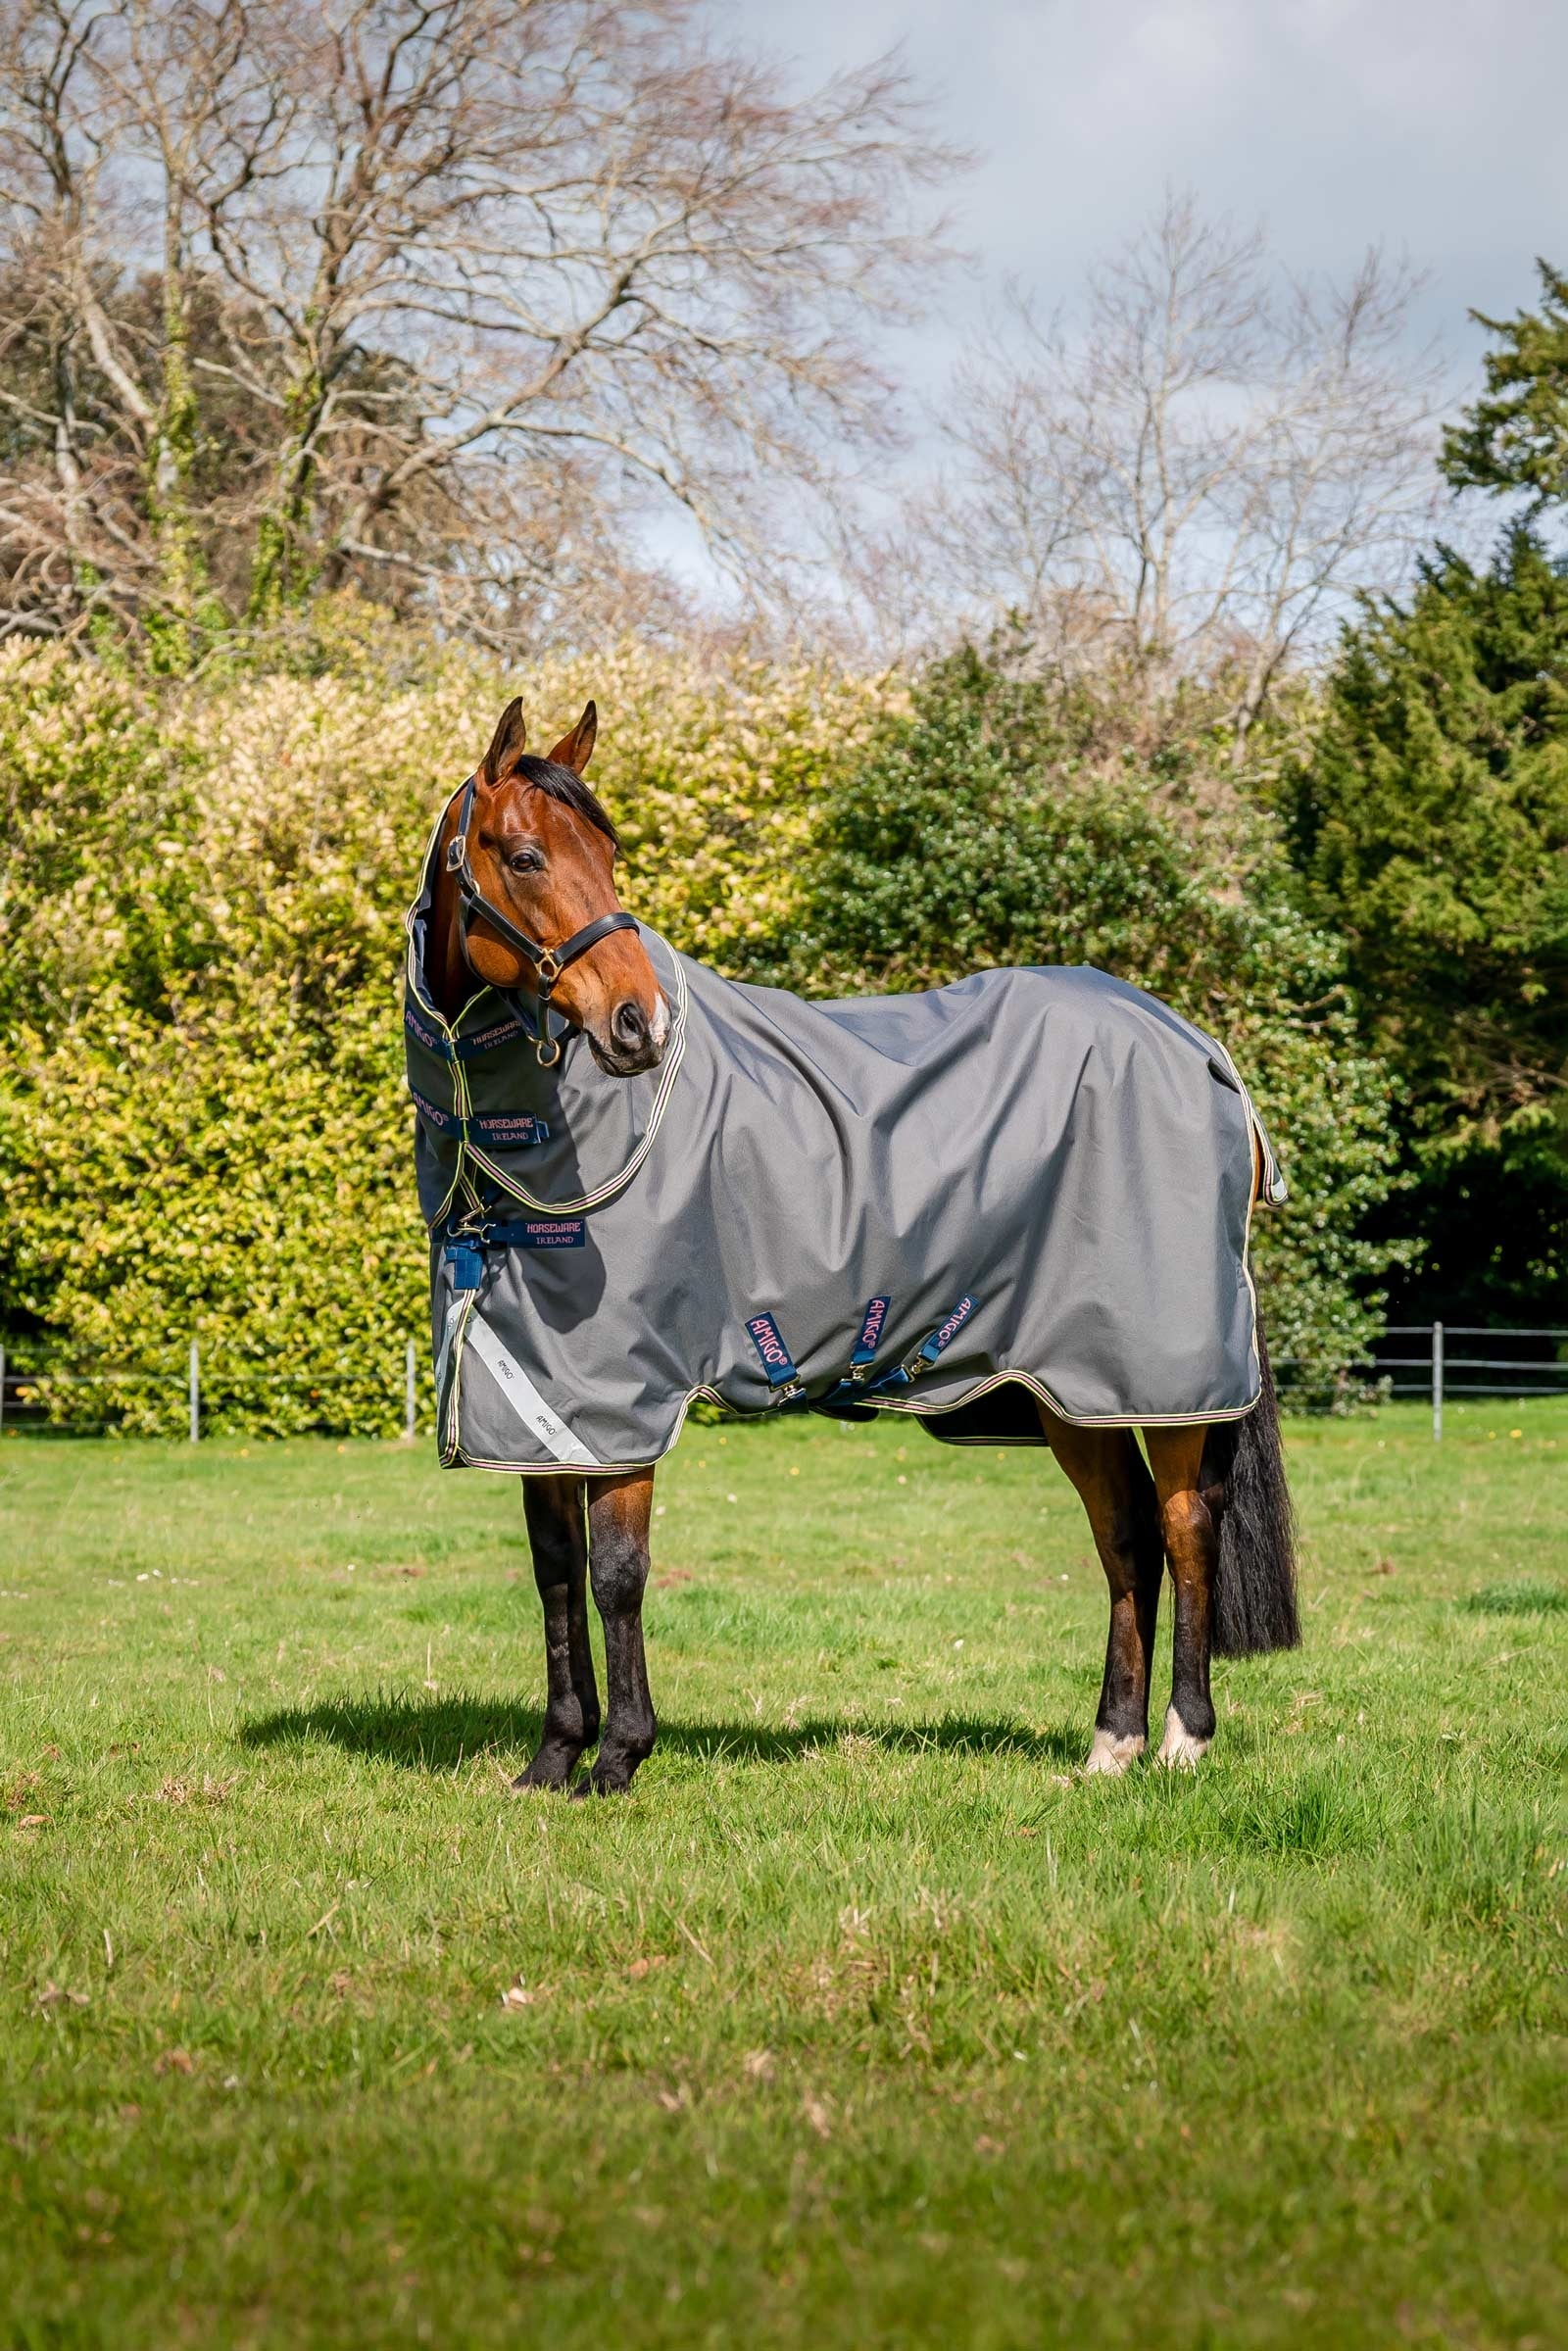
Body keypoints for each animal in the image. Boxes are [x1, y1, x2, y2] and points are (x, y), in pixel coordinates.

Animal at [416, 696, 1299, 1797]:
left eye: (611, 854)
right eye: (528, 854)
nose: (637, 1025)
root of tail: (1200, 1048)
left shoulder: (623, 1399)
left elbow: (616, 1574)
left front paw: (618, 1758)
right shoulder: (546, 1405)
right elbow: (553, 1572)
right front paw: (551, 1759)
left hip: (1165, 1375)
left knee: (1184, 1525)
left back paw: (1182, 1736)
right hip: (1075, 1388)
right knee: (1127, 1538)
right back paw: (1111, 1743)